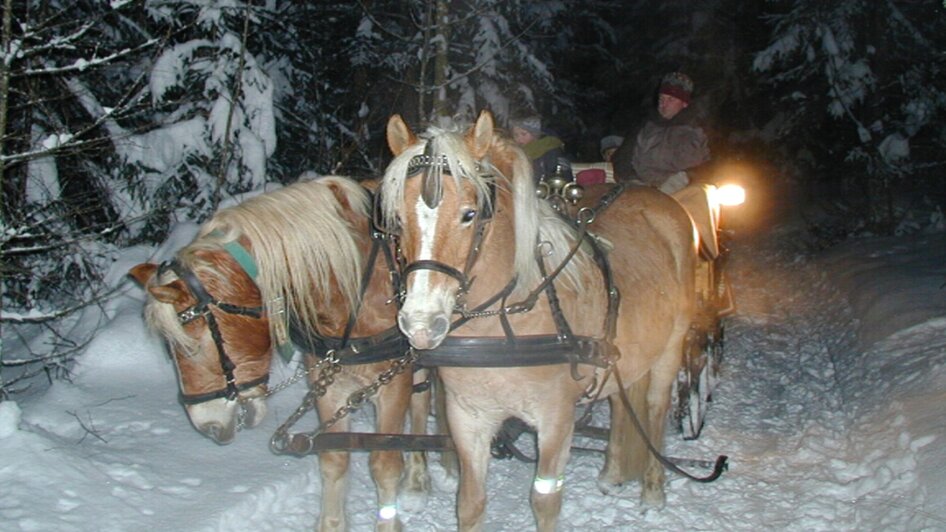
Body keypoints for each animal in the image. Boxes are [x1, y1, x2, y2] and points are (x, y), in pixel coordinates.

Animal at [127, 174, 430, 528]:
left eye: (191, 343)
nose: (207, 425)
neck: (354, 282)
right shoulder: (328, 382)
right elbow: (334, 460)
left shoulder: (393, 383)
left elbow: (385, 465)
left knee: (422, 401)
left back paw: (418, 483)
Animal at [380, 110, 696, 528]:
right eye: (398, 221)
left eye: (468, 214)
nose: (420, 323)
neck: (502, 327)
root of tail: (651, 194)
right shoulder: (468, 416)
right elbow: (470, 503)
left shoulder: (556, 418)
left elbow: (545, 502)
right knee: (618, 402)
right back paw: (612, 473)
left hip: (670, 348)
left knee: (656, 409)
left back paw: (654, 490)